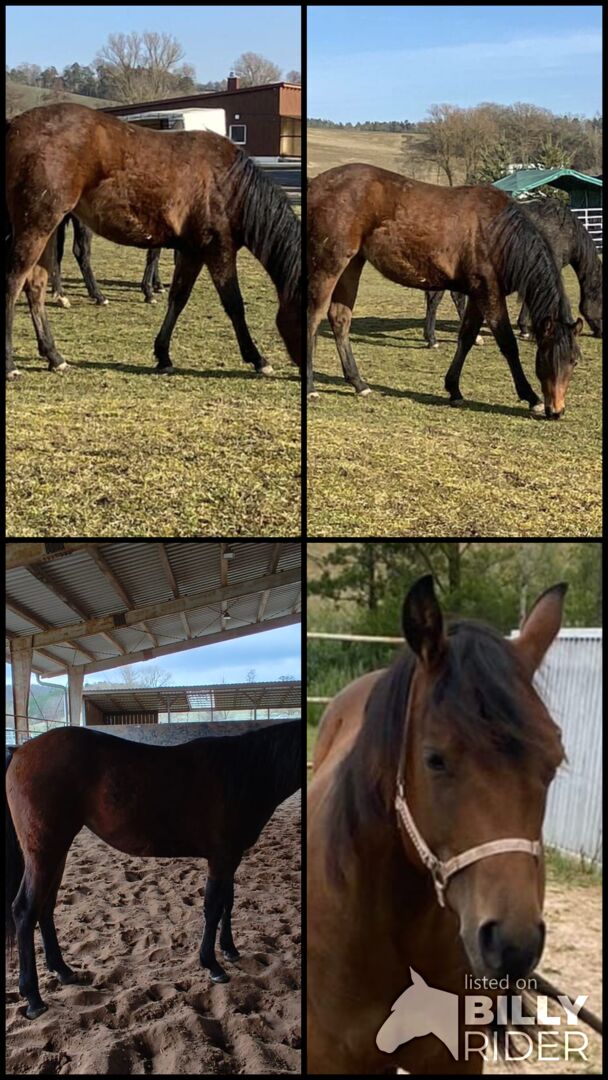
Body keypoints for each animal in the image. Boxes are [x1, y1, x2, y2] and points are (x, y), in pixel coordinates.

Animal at [6, 103, 301, 380]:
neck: (228, 183)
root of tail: (14, 126)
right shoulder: (219, 250)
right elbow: (234, 304)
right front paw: (258, 359)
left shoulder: (192, 252)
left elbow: (178, 298)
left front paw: (163, 354)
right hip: (37, 225)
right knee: (14, 282)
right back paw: (11, 364)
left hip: (48, 227)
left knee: (35, 286)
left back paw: (54, 356)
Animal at [6, 720, 301, 1020]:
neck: (244, 773)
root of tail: (21, 751)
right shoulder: (221, 858)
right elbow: (213, 907)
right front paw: (212, 964)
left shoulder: (232, 858)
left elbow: (228, 903)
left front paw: (230, 950)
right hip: (44, 852)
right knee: (25, 911)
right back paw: (33, 998)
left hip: (57, 853)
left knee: (45, 907)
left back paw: (63, 970)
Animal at [308, 164, 583, 418]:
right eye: (546, 359)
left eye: (574, 360)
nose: (557, 411)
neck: (497, 233)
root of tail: (317, 183)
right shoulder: (489, 293)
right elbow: (507, 343)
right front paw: (531, 397)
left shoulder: (478, 295)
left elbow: (467, 337)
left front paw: (454, 389)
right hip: (329, 264)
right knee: (313, 318)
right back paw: (311, 387)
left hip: (352, 263)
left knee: (340, 319)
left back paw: (358, 382)